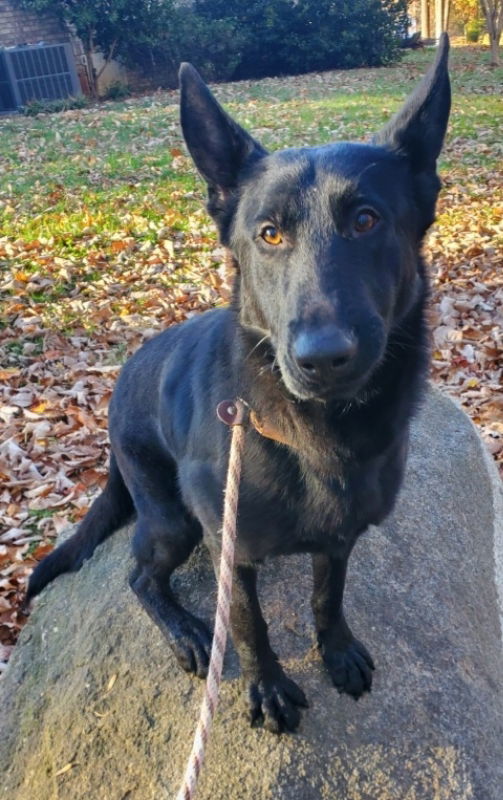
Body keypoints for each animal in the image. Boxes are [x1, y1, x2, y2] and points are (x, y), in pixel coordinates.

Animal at [27, 40, 452, 736]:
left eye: (367, 220)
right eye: (269, 233)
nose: (322, 359)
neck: (323, 431)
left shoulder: (340, 536)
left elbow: (328, 595)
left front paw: (335, 650)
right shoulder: (234, 551)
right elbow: (251, 627)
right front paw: (270, 687)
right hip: (172, 520)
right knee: (139, 576)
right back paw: (188, 632)